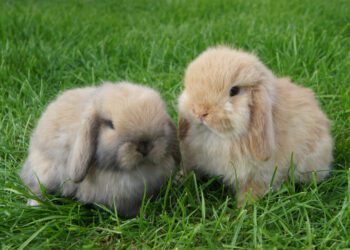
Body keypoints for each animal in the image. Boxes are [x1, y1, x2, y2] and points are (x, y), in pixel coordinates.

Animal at [178, 46, 334, 206]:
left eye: (234, 91)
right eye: (189, 88)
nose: (200, 112)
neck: (215, 135)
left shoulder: (258, 175)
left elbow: (252, 191)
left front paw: (243, 208)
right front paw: (180, 179)